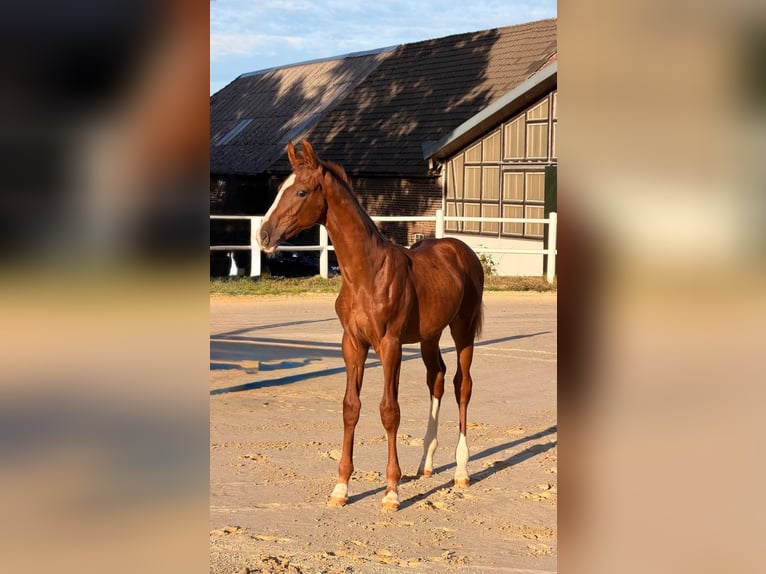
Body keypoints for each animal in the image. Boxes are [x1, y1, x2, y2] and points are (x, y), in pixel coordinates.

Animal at [258, 140, 484, 511]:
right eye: (280, 189)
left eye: (302, 191)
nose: (263, 235)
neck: (367, 273)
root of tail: (460, 249)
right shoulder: (352, 343)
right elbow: (351, 407)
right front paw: (341, 488)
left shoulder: (389, 345)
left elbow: (389, 410)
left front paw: (391, 491)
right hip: (429, 336)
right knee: (435, 379)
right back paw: (425, 463)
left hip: (462, 329)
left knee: (461, 385)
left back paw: (461, 470)